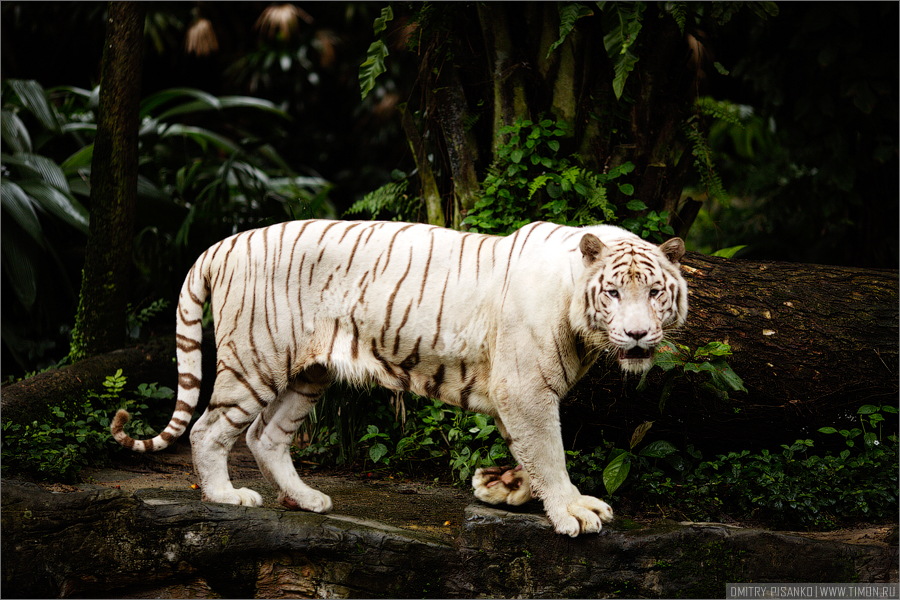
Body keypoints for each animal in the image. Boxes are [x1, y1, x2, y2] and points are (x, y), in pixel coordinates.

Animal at [114, 218, 688, 536]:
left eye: (655, 292)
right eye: (613, 293)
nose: (638, 334)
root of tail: (225, 243)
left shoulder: (514, 393)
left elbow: (527, 450)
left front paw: (501, 489)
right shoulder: (526, 387)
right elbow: (550, 452)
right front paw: (572, 511)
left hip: (309, 374)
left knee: (265, 436)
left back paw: (307, 499)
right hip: (257, 359)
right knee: (208, 430)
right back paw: (226, 497)